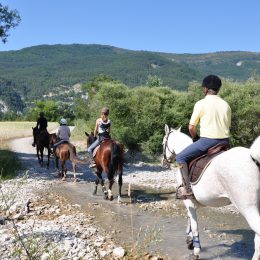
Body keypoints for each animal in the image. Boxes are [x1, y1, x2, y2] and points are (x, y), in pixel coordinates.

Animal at [162, 125, 260, 258]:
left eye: (163, 143)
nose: (164, 161)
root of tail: (253, 158)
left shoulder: (188, 201)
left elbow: (194, 224)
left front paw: (195, 249)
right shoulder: (194, 202)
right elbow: (189, 219)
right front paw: (189, 241)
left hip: (248, 209)